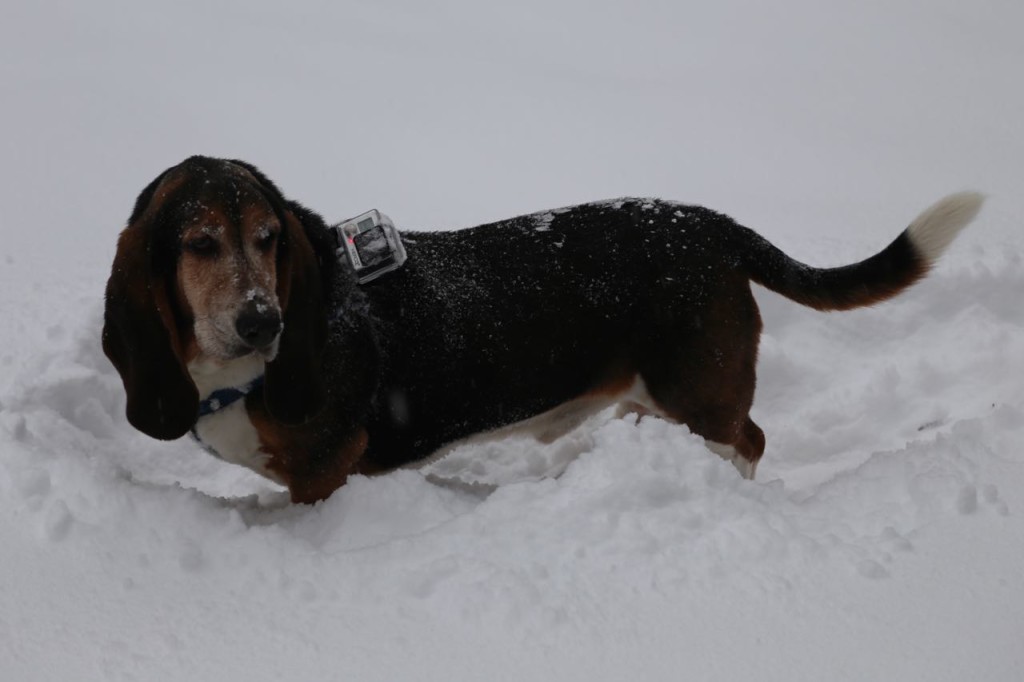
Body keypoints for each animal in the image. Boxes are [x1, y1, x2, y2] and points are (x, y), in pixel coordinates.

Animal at [101, 156, 983, 501]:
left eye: (268, 239)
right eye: (200, 244)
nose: (264, 321)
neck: (229, 374)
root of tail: (707, 224)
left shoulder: (327, 467)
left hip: (700, 388)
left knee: (750, 439)